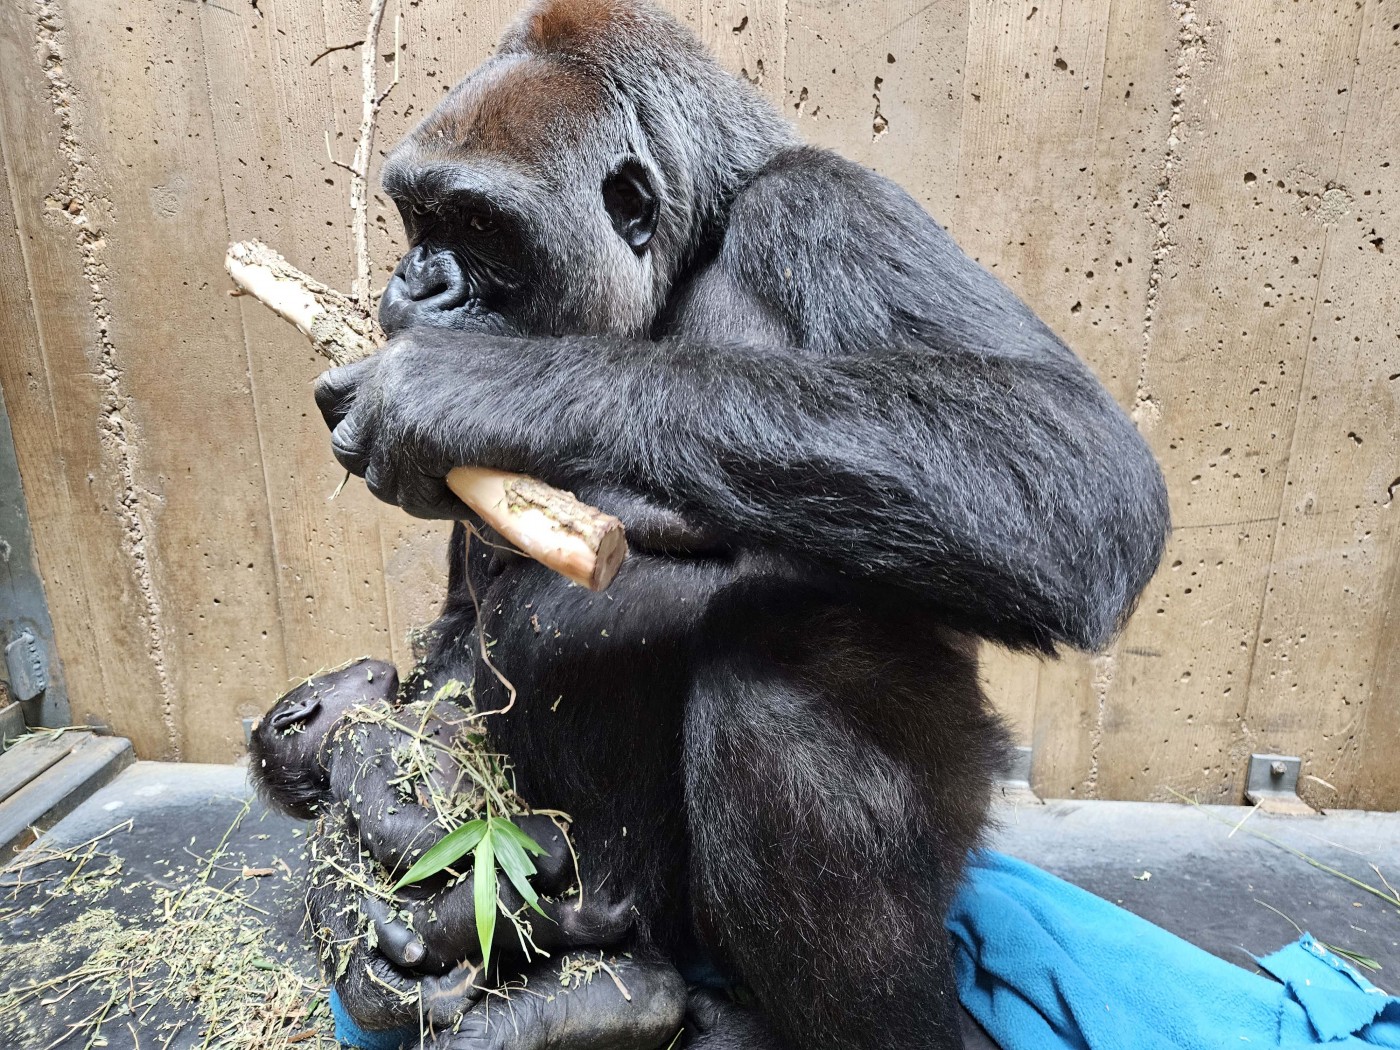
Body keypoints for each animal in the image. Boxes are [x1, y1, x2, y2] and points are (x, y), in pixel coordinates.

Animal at [306, 0, 1170, 1047]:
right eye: (420, 219)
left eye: (479, 225)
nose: (414, 283)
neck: (691, 251)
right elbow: (448, 656)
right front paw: (365, 838)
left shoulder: (824, 207)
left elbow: (1075, 463)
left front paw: (475, 389)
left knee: (784, 688)